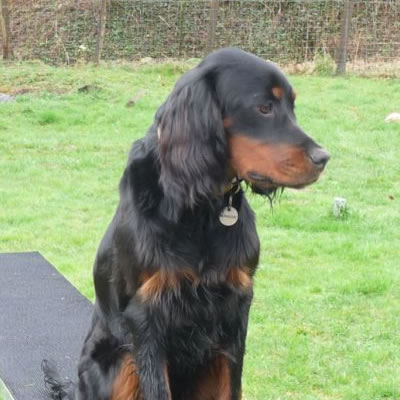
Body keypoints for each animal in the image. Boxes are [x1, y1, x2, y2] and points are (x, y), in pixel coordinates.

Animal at [43, 48, 328, 398]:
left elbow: (232, 385)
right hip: (117, 362)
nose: (323, 158)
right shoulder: (146, 314)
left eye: (292, 106)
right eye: (263, 107)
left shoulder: (235, 306)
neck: (199, 204)